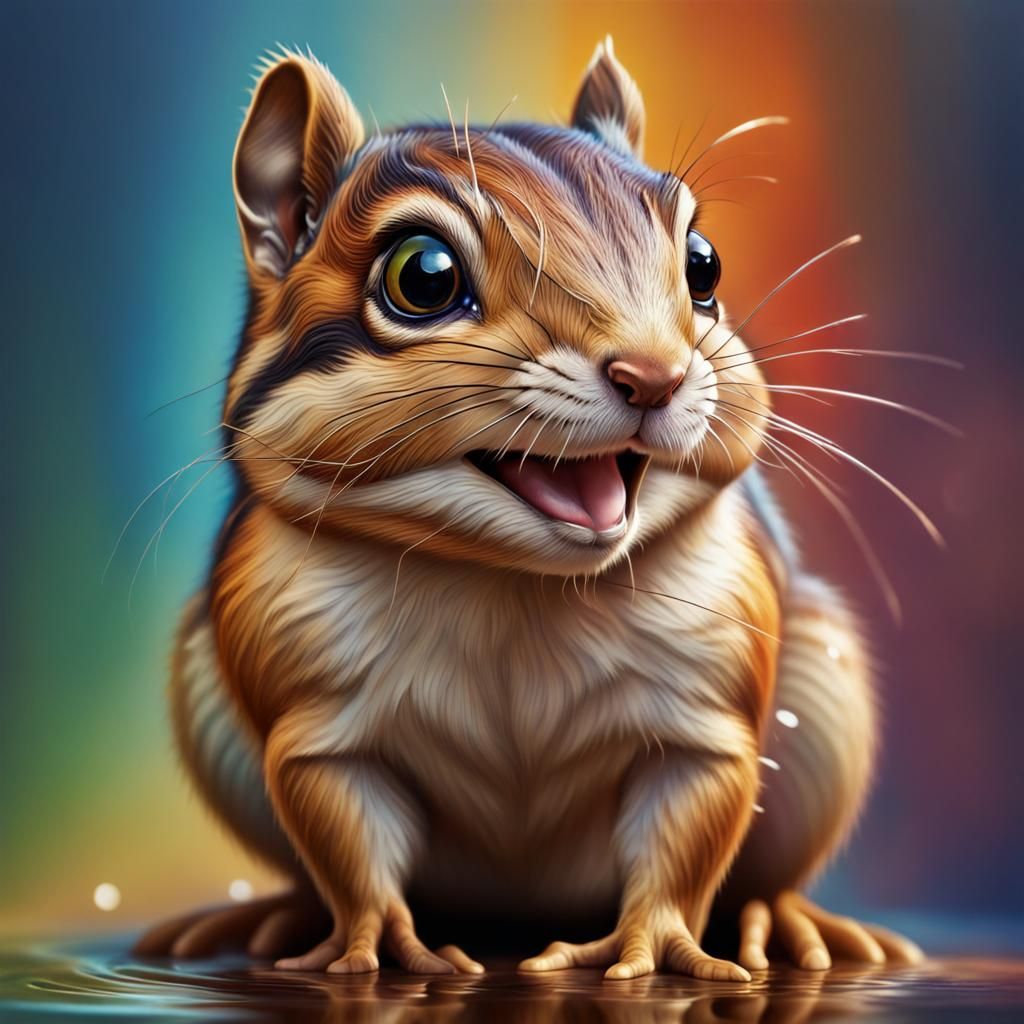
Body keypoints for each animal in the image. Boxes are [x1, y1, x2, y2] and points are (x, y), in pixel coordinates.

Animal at [136, 39, 925, 979]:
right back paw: (274, 919)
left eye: (703, 263)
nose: (655, 374)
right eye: (423, 277)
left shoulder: (708, 719)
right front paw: (377, 944)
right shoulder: (316, 722)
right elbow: (347, 840)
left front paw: (654, 946)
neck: (513, 583)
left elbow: (688, 833)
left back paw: (791, 923)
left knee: (765, 873)